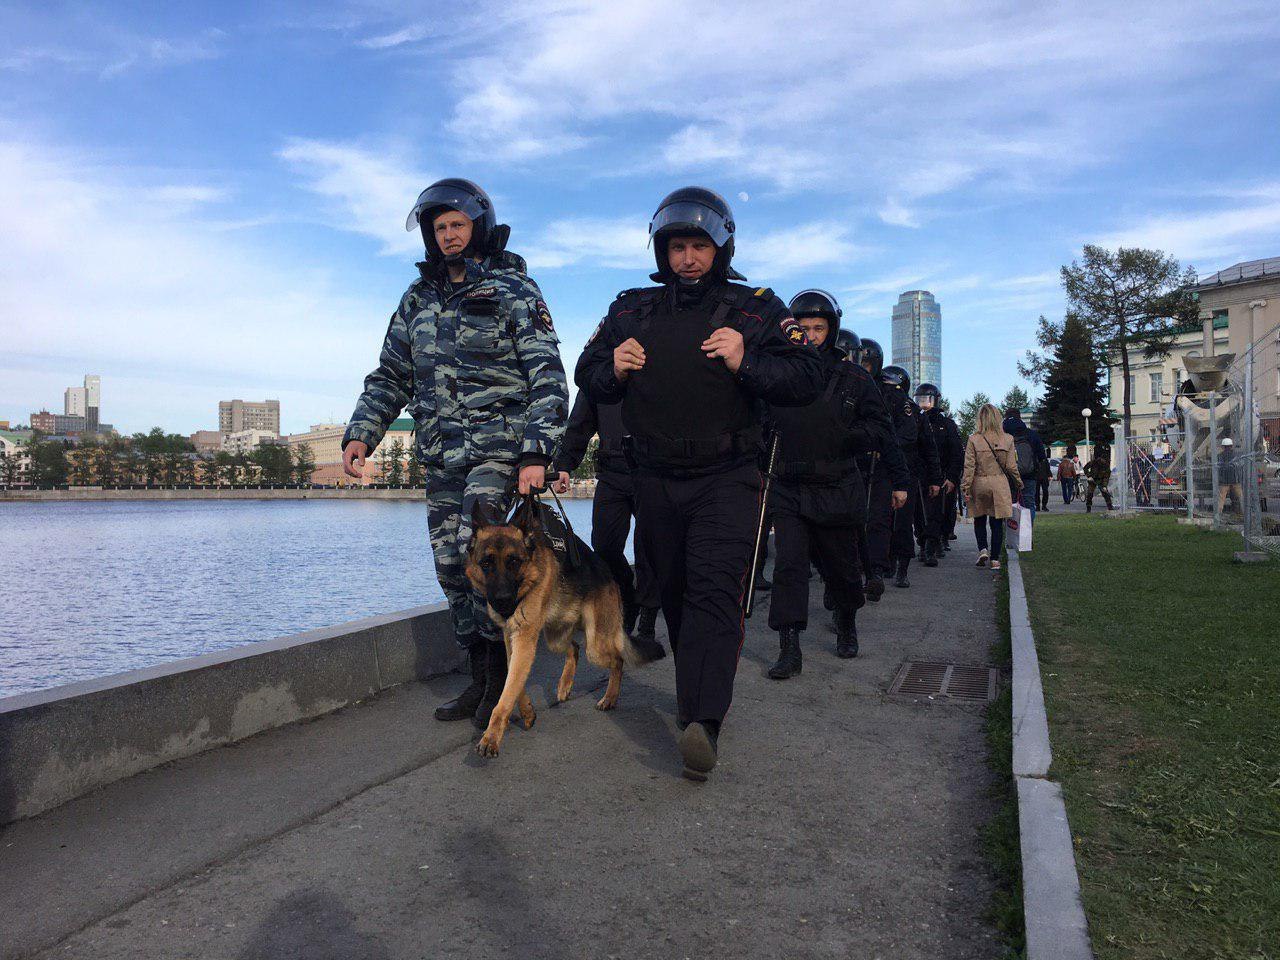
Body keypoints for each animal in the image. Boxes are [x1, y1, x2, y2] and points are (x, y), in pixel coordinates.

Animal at [465, 496, 655, 757]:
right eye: (486, 563)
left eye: (514, 562)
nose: (503, 601)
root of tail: (610, 576)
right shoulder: (512, 637)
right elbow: (514, 681)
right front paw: (527, 711)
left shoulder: (524, 639)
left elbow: (507, 693)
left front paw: (491, 737)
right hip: (554, 637)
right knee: (573, 647)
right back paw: (565, 686)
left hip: (595, 647)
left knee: (617, 660)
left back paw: (609, 698)